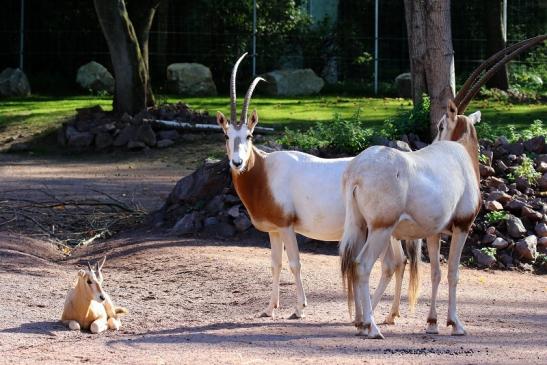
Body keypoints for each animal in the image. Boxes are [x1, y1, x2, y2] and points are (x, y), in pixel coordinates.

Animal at [218, 52, 420, 320]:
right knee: (399, 262)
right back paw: (391, 314)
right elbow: (275, 264)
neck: (265, 172)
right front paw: (269, 308)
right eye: (226, 135)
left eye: (249, 135)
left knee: (390, 263)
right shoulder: (274, 230)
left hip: (381, 227)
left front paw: (298, 309)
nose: (237, 163)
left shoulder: (287, 226)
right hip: (391, 230)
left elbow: (294, 263)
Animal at [340, 100, 482, 338]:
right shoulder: (463, 226)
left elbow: (436, 273)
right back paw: (372, 327)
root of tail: (357, 171)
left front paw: (432, 323)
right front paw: (455, 324)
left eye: (441, 126)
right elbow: (453, 273)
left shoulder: (434, 233)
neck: (461, 155)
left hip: (359, 226)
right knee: (363, 264)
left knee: (351, 263)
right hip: (381, 229)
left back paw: (360, 324)